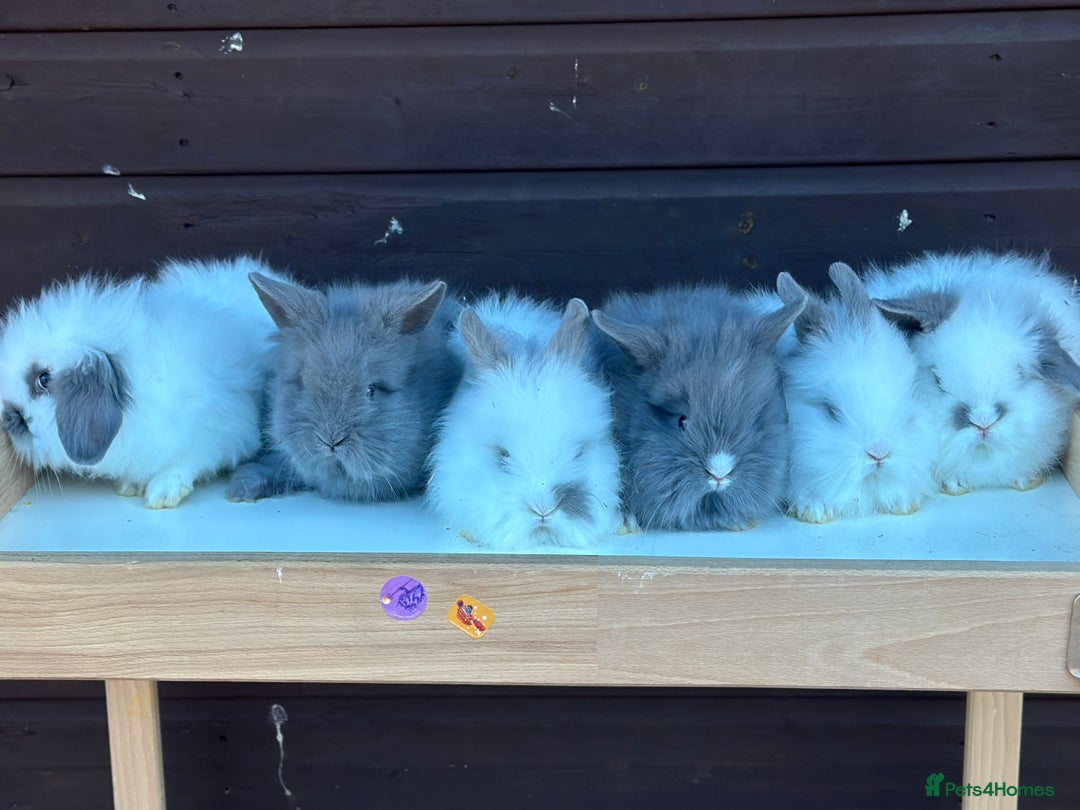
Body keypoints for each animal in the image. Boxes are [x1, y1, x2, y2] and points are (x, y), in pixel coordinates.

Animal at [0, 255, 283, 508]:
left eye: (44, 379)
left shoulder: (219, 432)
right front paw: (130, 485)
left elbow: (190, 460)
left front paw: (162, 492)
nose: (8, 417)